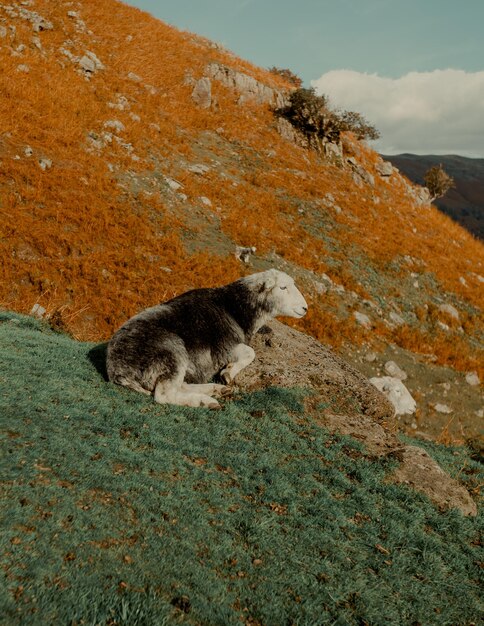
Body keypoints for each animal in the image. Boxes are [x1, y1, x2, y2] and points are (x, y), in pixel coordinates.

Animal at [107, 270, 308, 408]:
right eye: (283, 287)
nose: (305, 308)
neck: (235, 307)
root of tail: (117, 369)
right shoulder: (224, 347)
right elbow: (250, 352)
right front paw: (228, 373)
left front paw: (225, 378)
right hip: (171, 351)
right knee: (165, 395)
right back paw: (206, 401)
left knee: (181, 385)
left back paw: (216, 390)